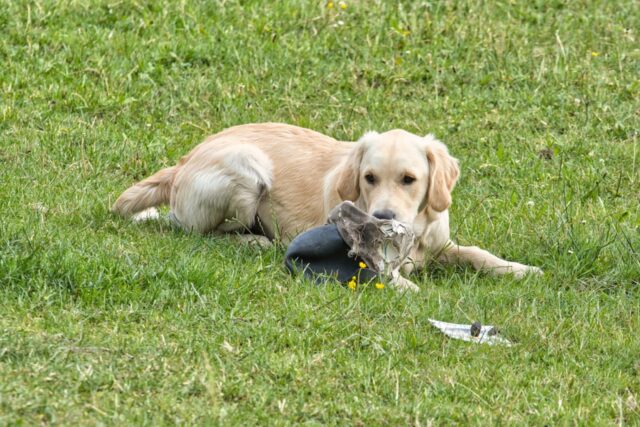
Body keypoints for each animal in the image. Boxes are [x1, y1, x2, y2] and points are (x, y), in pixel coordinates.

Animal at [112, 123, 544, 290]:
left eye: (409, 179)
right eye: (369, 177)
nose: (382, 218)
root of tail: (181, 163)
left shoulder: (442, 245)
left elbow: (478, 254)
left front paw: (520, 269)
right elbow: (387, 273)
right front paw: (406, 286)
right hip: (246, 168)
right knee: (205, 234)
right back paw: (256, 242)